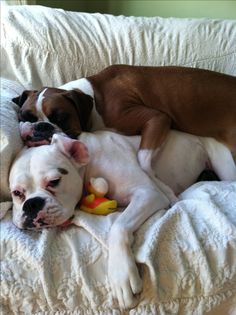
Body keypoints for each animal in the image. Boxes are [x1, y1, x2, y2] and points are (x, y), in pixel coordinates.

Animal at [9, 128, 236, 308]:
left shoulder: (147, 193)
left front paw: (122, 275)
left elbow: (118, 226)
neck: (87, 164)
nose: (32, 204)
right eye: (17, 193)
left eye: (54, 181)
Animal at [12, 65, 236, 174]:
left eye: (60, 117)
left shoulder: (158, 119)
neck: (96, 98)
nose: (41, 127)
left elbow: (143, 160)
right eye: (25, 116)